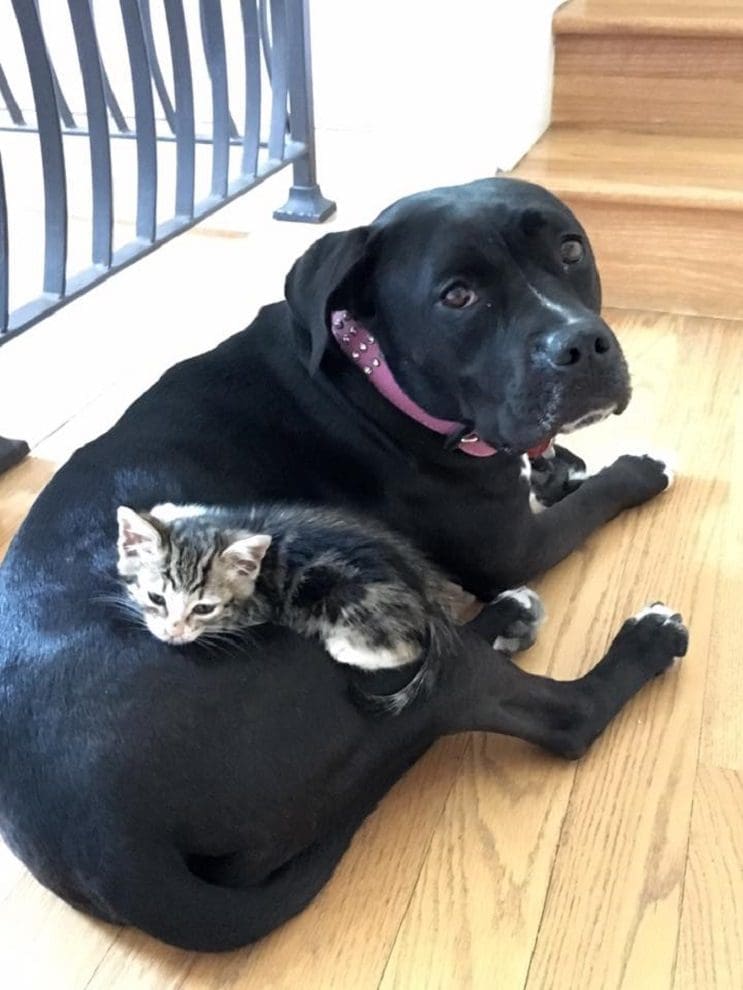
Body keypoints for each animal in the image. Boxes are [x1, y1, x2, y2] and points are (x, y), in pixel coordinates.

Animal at [116, 504, 468, 712]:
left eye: (203, 609)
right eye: (156, 598)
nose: (173, 631)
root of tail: (427, 591)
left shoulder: (257, 606)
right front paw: (164, 510)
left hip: (348, 597)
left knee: (407, 647)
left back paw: (345, 648)